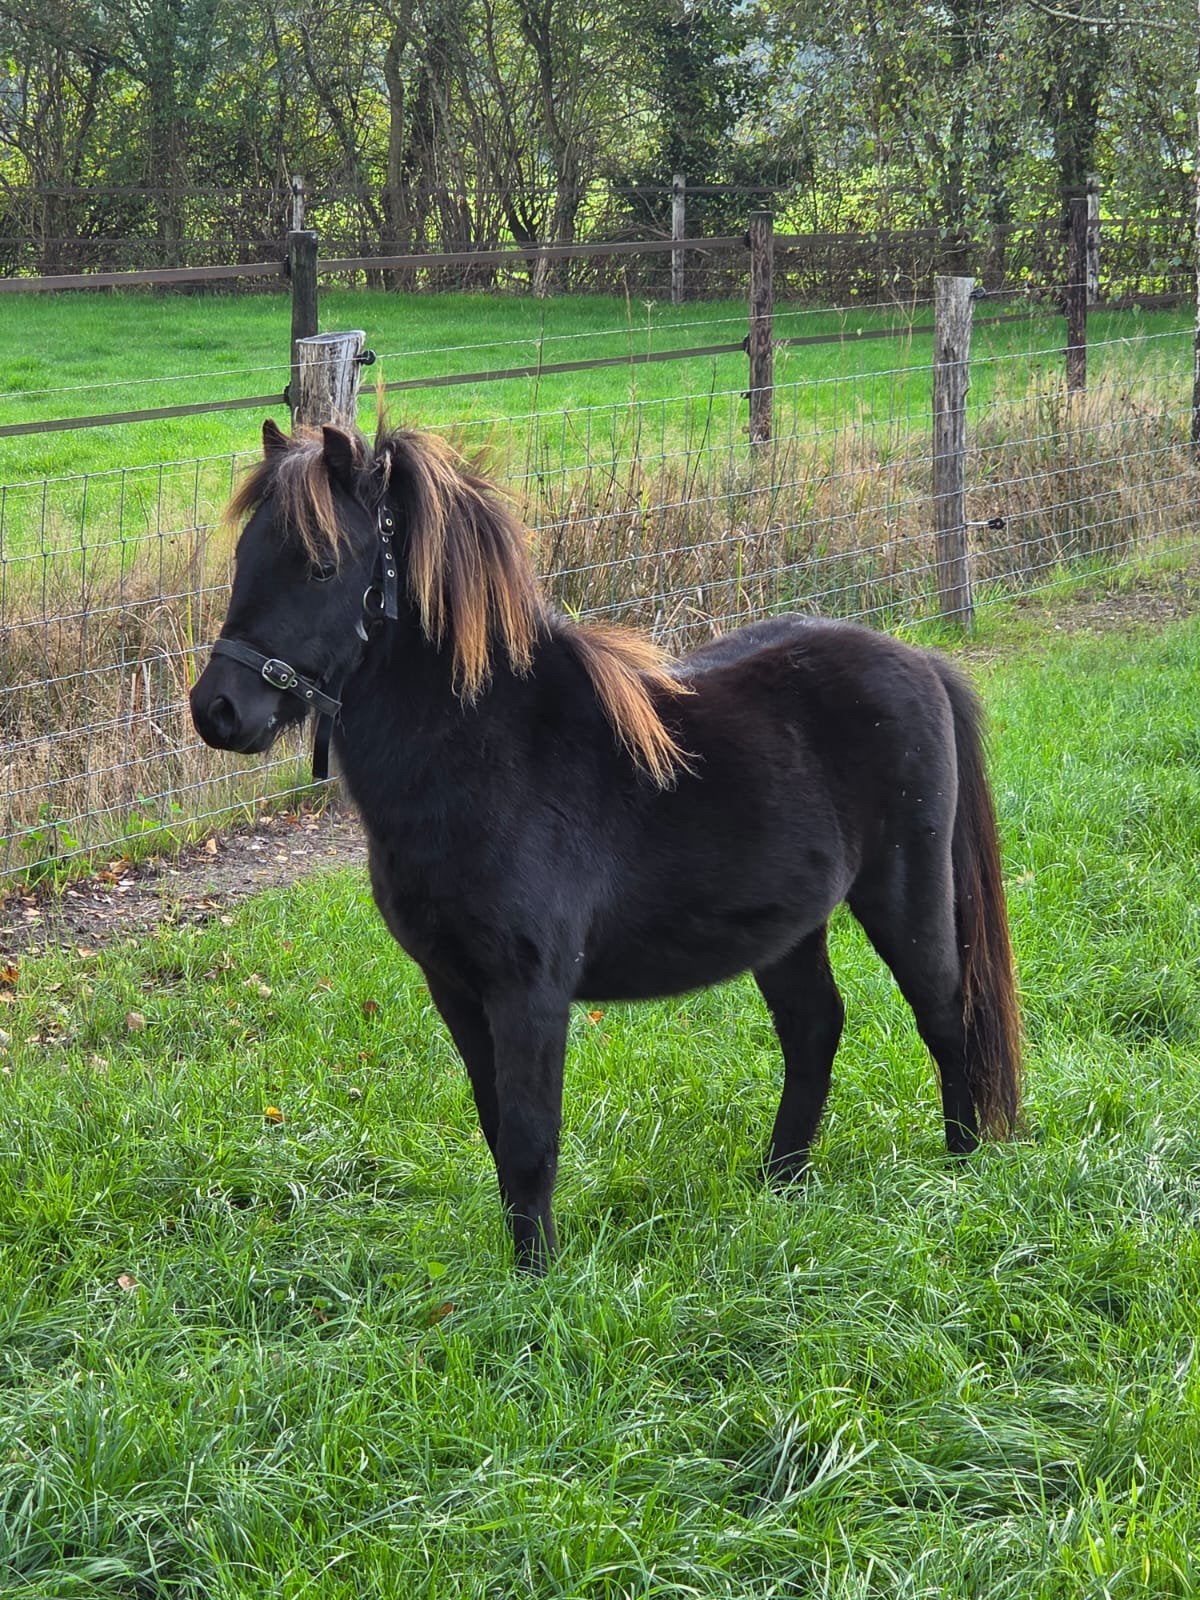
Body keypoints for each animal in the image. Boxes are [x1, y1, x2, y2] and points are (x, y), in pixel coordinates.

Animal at [190, 418, 1022, 1270]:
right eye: (244, 557)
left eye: (321, 565)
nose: (218, 710)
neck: (493, 752)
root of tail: (920, 661)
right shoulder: (453, 987)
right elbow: (497, 1129)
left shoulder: (529, 990)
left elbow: (530, 1139)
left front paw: (537, 1280)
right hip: (788, 928)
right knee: (814, 1029)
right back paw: (780, 1184)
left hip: (904, 896)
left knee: (945, 1013)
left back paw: (959, 1167)